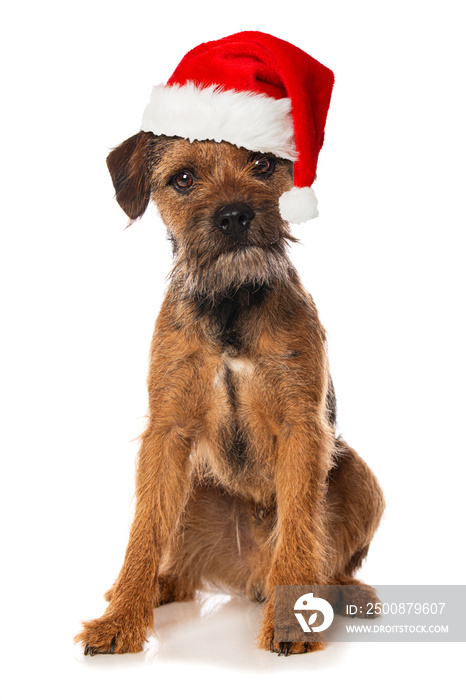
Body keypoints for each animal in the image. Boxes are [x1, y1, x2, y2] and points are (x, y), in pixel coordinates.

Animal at [74, 32, 384, 656]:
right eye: (184, 179)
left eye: (261, 163)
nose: (234, 216)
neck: (230, 304)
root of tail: (250, 575)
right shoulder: (166, 433)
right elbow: (143, 531)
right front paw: (120, 620)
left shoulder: (302, 426)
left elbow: (301, 521)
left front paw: (292, 624)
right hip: (194, 487)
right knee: (176, 563)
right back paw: (151, 589)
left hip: (359, 474)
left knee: (328, 559)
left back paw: (343, 592)